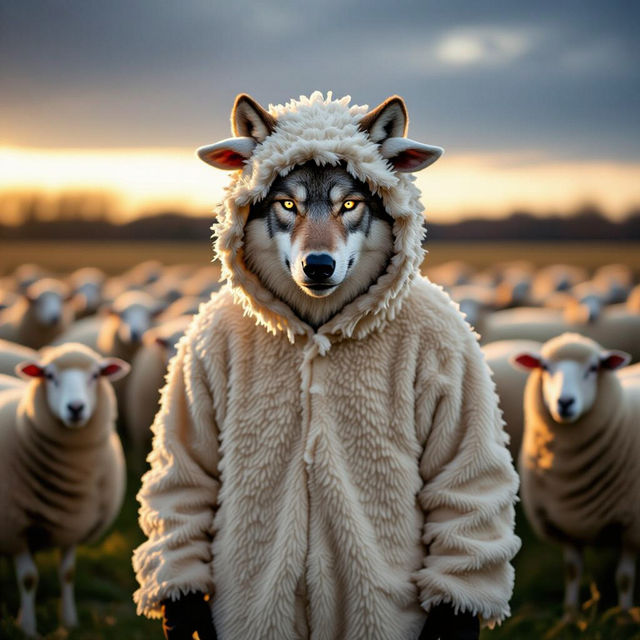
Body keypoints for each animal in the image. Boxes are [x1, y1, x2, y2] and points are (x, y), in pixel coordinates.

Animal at [0, 343, 129, 637]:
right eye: (49, 376)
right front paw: (28, 628)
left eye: (96, 375)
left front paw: (69, 621)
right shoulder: (15, 528)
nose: (76, 408)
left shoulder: (76, 523)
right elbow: (28, 578)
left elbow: (68, 573)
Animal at [512, 333, 639, 618]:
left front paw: (624, 617)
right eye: (545, 367)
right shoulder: (563, 525)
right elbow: (572, 572)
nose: (565, 402)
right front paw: (569, 617)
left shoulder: (631, 527)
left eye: (593, 368)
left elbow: (625, 578)